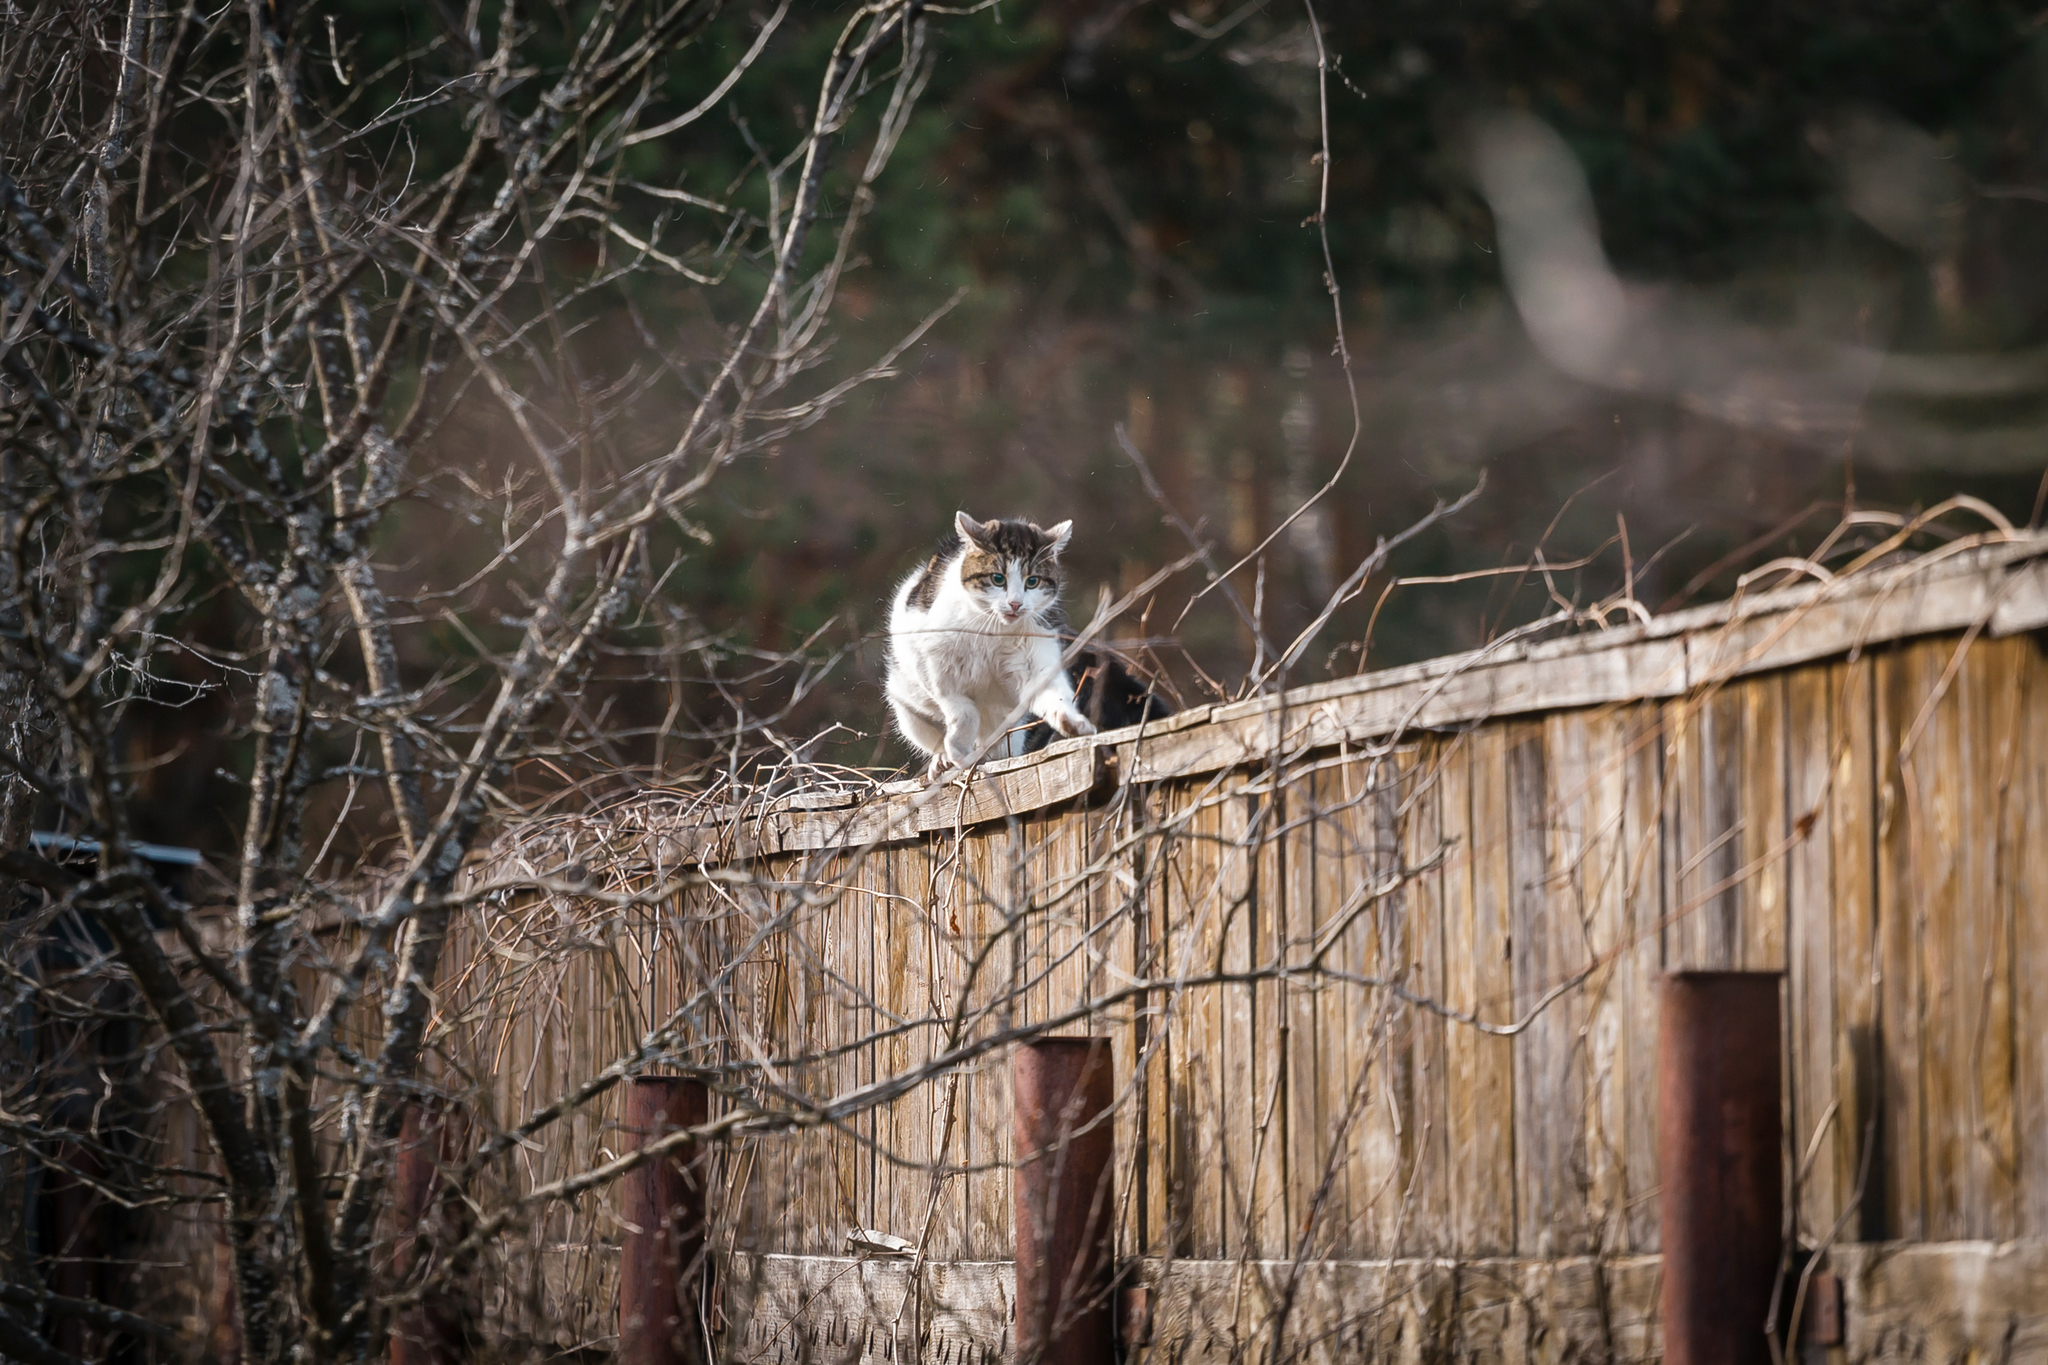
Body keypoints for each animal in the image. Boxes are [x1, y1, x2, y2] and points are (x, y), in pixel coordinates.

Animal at [884, 509, 1097, 773]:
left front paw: (1071, 722)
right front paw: (958, 750)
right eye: (998, 578)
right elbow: (962, 709)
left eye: (1032, 581)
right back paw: (942, 760)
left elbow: (1051, 693)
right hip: (906, 709)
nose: (1015, 604)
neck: (994, 631)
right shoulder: (928, 661)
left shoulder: (1036, 647)